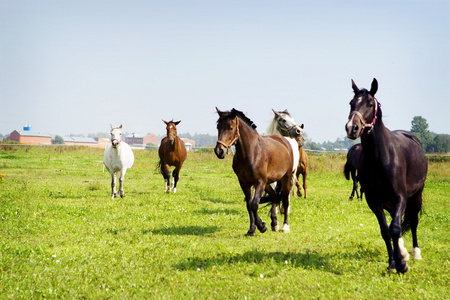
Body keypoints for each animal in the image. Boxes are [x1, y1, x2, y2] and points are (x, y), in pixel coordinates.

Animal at [215, 106, 298, 236]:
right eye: (218, 127)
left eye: (230, 127)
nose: (219, 151)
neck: (252, 152)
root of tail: (284, 140)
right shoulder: (244, 183)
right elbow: (249, 205)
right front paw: (252, 229)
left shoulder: (259, 182)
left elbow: (254, 205)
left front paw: (262, 226)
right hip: (268, 183)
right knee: (274, 196)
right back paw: (274, 224)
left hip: (286, 178)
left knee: (285, 200)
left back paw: (285, 226)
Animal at [346, 78, 428, 274]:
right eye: (351, 103)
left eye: (370, 104)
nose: (352, 128)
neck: (379, 158)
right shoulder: (374, 201)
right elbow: (386, 230)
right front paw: (393, 263)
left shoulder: (400, 197)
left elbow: (396, 228)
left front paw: (402, 265)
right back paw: (404, 252)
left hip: (416, 196)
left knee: (413, 221)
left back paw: (415, 252)